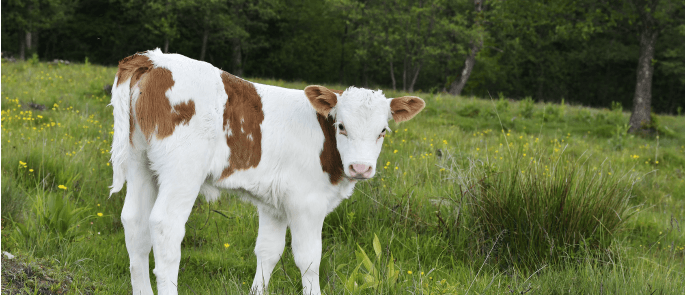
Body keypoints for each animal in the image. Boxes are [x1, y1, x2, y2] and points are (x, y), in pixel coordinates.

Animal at [108, 49, 422, 295]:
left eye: (383, 131)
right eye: (341, 126)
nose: (361, 167)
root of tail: (153, 59)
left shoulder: (274, 204)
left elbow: (268, 252)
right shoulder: (307, 202)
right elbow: (309, 259)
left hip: (140, 163)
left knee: (135, 223)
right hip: (182, 171)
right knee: (165, 227)